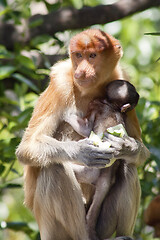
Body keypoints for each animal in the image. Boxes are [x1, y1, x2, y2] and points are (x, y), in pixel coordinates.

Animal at [64, 79, 139, 240]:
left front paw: (67, 115)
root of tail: (106, 178)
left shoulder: (97, 105)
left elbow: (85, 128)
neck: (114, 107)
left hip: (89, 172)